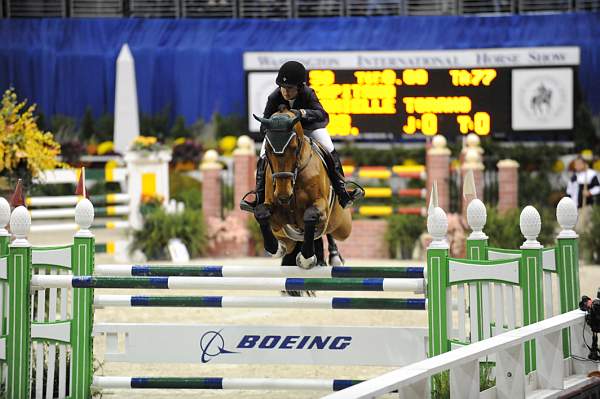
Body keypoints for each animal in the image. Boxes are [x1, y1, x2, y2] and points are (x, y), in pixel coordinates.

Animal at [252, 107, 352, 268]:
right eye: (267, 149)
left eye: (294, 148)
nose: (283, 195)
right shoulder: (274, 211)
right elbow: (261, 213)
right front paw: (278, 248)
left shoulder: (321, 206)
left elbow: (310, 216)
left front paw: (306, 259)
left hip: (341, 225)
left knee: (328, 232)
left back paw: (334, 257)